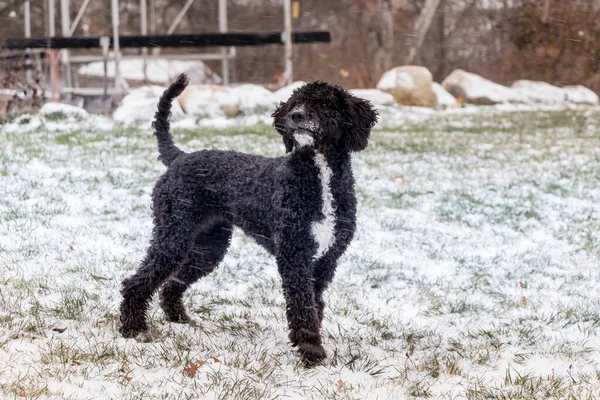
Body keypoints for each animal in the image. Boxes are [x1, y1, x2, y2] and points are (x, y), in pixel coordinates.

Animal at [119, 73, 378, 368]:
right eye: (296, 103)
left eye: (325, 104)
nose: (297, 116)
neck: (318, 176)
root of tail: (180, 157)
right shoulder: (294, 255)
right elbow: (303, 306)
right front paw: (311, 351)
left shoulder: (325, 260)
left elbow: (314, 305)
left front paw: (308, 345)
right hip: (174, 236)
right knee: (136, 282)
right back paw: (132, 329)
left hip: (209, 247)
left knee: (172, 283)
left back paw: (179, 320)